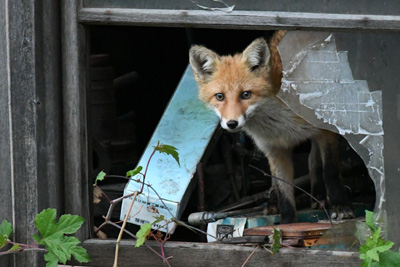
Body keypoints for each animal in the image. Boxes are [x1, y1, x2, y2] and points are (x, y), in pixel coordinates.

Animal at [189, 30, 354, 224]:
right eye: (220, 96)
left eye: (246, 94)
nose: (232, 123)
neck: (279, 122)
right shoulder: (274, 148)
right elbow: (283, 188)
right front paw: (287, 222)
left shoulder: (326, 132)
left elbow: (331, 171)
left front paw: (340, 206)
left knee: (315, 162)